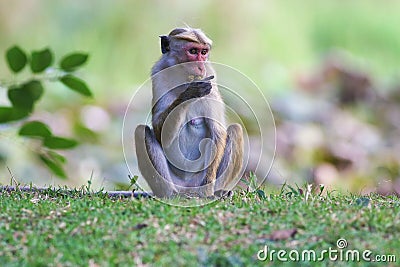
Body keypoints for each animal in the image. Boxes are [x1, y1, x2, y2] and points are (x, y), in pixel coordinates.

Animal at [135, 27, 244, 199]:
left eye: (204, 52)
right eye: (193, 51)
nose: (200, 65)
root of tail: (187, 189)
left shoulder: (210, 80)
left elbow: (218, 132)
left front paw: (208, 189)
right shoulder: (159, 73)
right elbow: (160, 131)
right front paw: (189, 93)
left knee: (235, 130)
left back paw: (215, 192)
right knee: (141, 131)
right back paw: (170, 194)